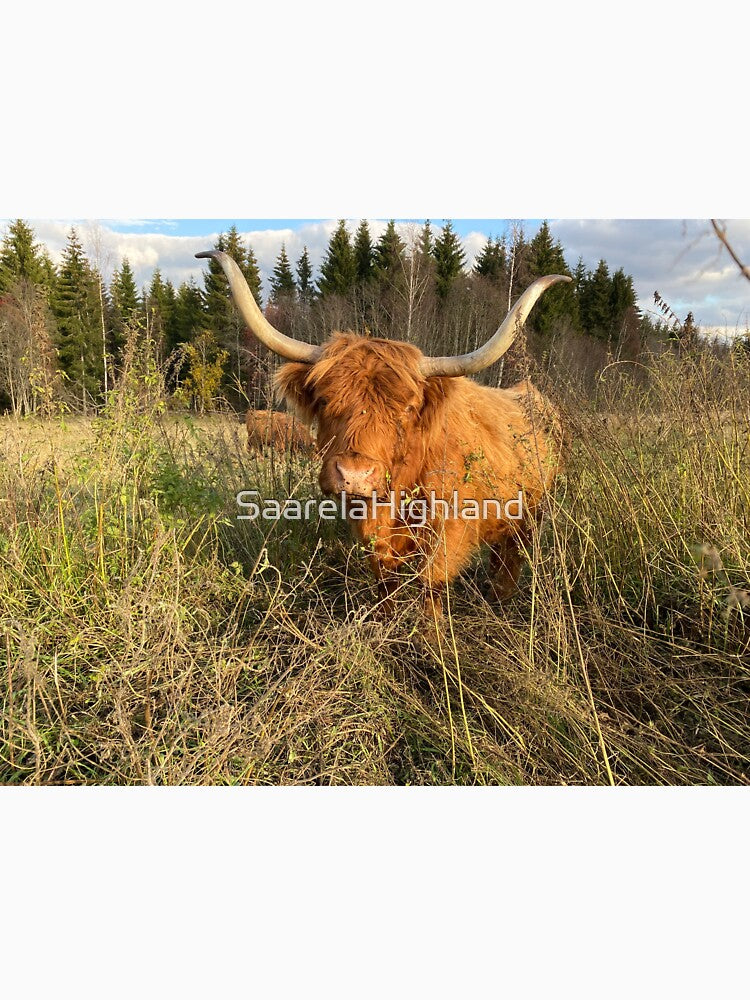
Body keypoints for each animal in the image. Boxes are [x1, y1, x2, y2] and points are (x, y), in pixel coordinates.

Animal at [197, 250, 570, 631]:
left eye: (406, 408)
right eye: (326, 401)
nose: (354, 476)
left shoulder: (449, 530)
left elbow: (430, 585)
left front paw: (431, 637)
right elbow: (384, 580)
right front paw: (384, 622)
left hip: (533, 511)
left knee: (513, 555)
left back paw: (500, 597)